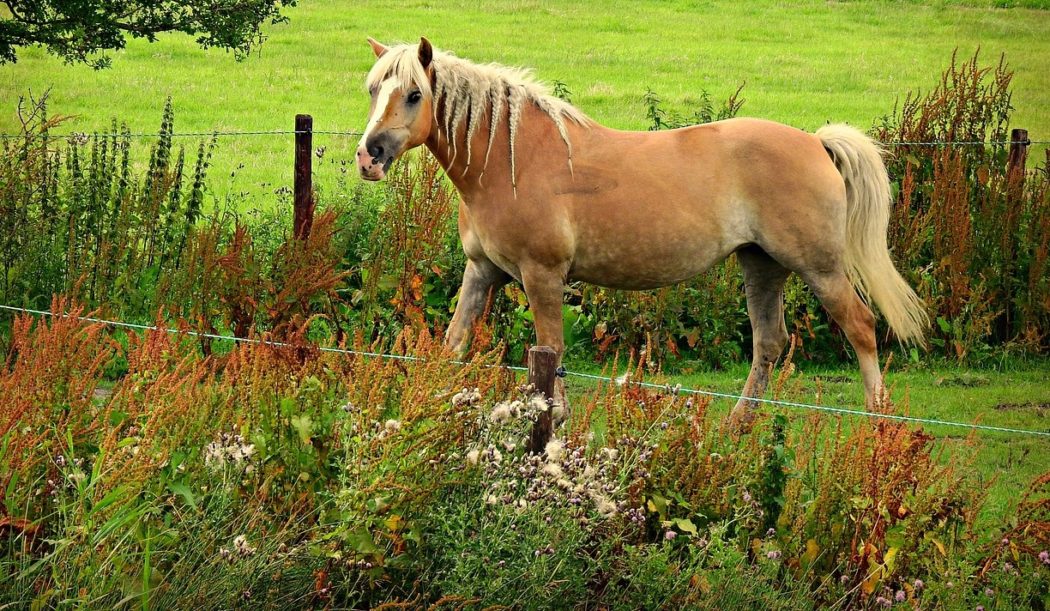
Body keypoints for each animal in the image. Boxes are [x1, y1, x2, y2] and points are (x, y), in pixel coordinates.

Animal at [355, 37, 928, 428]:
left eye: (413, 94)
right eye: (373, 90)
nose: (369, 155)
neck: (510, 160)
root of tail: (815, 143)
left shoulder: (542, 276)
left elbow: (551, 350)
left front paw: (553, 422)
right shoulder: (483, 272)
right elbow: (452, 345)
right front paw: (432, 406)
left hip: (820, 267)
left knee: (861, 327)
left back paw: (877, 419)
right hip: (762, 265)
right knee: (769, 342)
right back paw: (737, 426)